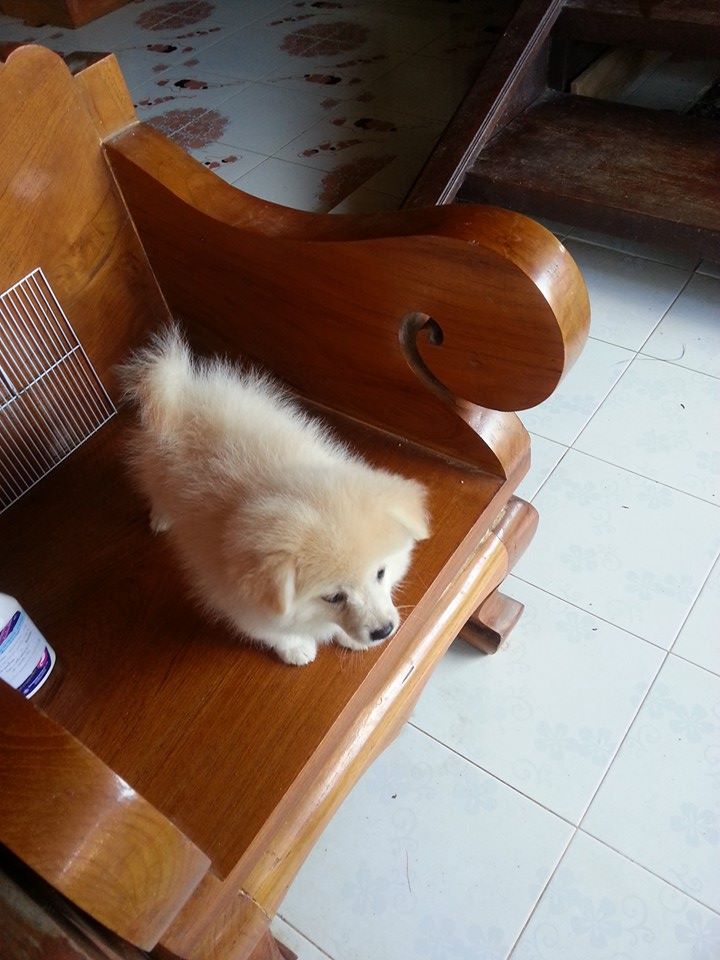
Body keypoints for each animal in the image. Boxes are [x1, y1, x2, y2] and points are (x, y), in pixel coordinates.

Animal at [119, 327, 429, 665]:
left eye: (381, 573)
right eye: (334, 597)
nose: (383, 631)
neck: (277, 486)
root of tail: (181, 393)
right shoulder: (241, 603)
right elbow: (274, 631)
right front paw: (296, 648)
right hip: (157, 470)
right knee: (155, 491)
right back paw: (161, 518)